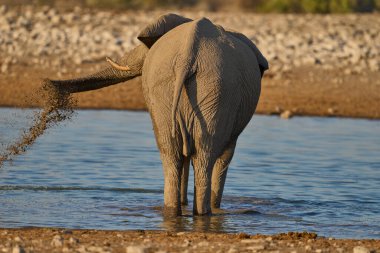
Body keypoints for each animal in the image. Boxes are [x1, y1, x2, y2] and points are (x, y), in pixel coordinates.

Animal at [46, 13, 268, 215]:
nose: (48, 84)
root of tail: (188, 56)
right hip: (187, 88)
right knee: (189, 154)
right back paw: (191, 213)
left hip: (208, 89)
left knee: (184, 154)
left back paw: (186, 212)